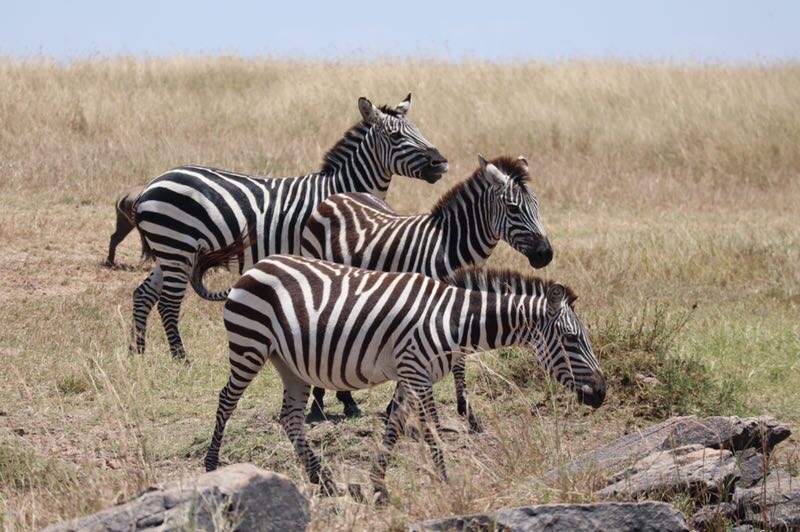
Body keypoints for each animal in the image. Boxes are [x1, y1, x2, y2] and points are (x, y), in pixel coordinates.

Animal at [129, 95, 446, 362]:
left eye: (418, 130)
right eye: (396, 136)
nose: (441, 163)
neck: (342, 189)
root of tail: (152, 184)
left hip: (172, 251)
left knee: (144, 294)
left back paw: (138, 353)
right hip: (177, 246)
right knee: (168, 303)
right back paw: (181, 359)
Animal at [195, 256, 608, 504]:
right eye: (572, 339)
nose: (601, 393)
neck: (454, 321)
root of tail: (255, 267)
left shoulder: (409, 376)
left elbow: (393, 429)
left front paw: (378, 485)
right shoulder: (417, 372)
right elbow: (433, 434)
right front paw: (448, 483)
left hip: (290, 365)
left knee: (290, 419)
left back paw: (323, 480)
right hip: (249, 345)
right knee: (226, 399)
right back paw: (212, 466)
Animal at [300, 153, 552, 428]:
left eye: (537, 205)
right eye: (513, 207)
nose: (546, 254)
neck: (448, 246)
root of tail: (337, 196)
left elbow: (458, 357)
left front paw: (465, 410)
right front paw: (401, 406)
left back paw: (345, 400)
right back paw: (319, 404)